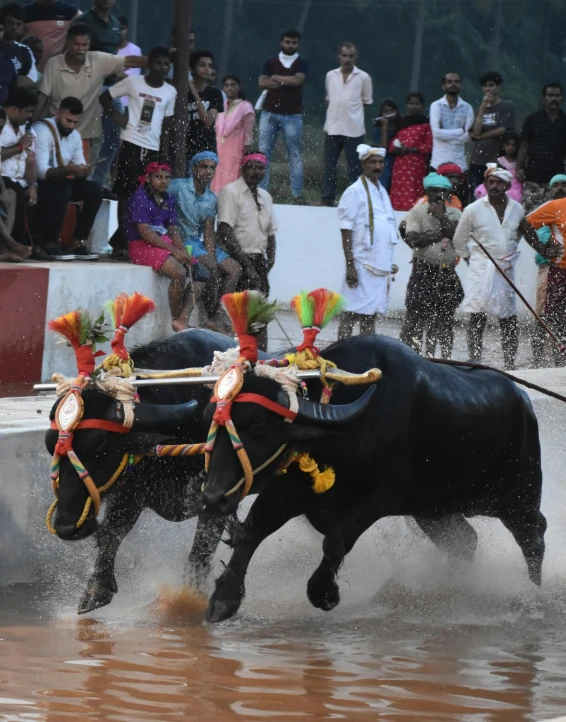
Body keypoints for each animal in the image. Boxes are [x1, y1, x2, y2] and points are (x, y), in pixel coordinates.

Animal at [45, 330, 237, 612]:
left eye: (100, 446)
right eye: (51, 446)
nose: (67, 527)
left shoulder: (218, 498)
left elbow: (201, 550)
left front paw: (191, 597)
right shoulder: (132, 488)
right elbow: (112, 532)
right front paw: (96, 590)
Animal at [202, 332, 548, 620]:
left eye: (258, 424)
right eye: (212, 418)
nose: (214, 497)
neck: (341, 431)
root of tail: (525, 403)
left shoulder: (381, 499)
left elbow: (335, 540)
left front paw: (323, 593)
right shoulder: (286, 490)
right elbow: (251, 532)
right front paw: (224, 599)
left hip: (518, 498)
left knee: (534, 537)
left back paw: (532, 597)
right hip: (434, 510)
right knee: (466, 542)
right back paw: (454, 588)